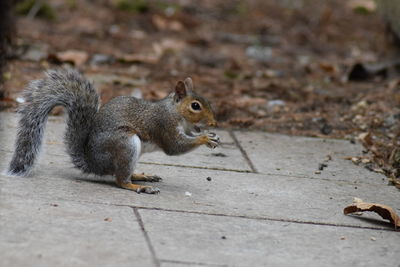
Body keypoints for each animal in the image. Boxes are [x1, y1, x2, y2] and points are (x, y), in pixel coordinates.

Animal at [7, 69, 220, 195]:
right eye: (195, 106)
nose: (214, 122)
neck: (174, 111)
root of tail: (93, 163)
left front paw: (212, 137)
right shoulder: (164, 124)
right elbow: (175, 147)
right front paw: (205, 138)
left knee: (119, 173)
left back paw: (141, 176)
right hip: (125, 144)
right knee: (119, 180)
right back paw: (139, 186)